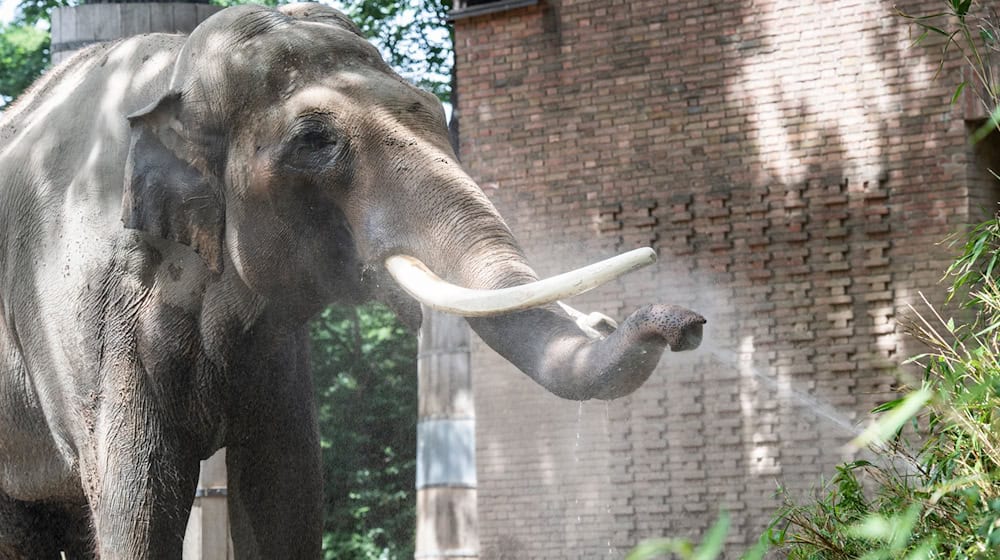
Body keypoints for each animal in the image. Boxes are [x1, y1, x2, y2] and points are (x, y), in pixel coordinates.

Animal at [0, 5, 704, 560]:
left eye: (434, 109)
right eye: (314, 141)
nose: (686, 322)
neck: (170, 75)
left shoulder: (273, 345)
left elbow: (287, 488)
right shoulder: (94, 319)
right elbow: (139, 502)